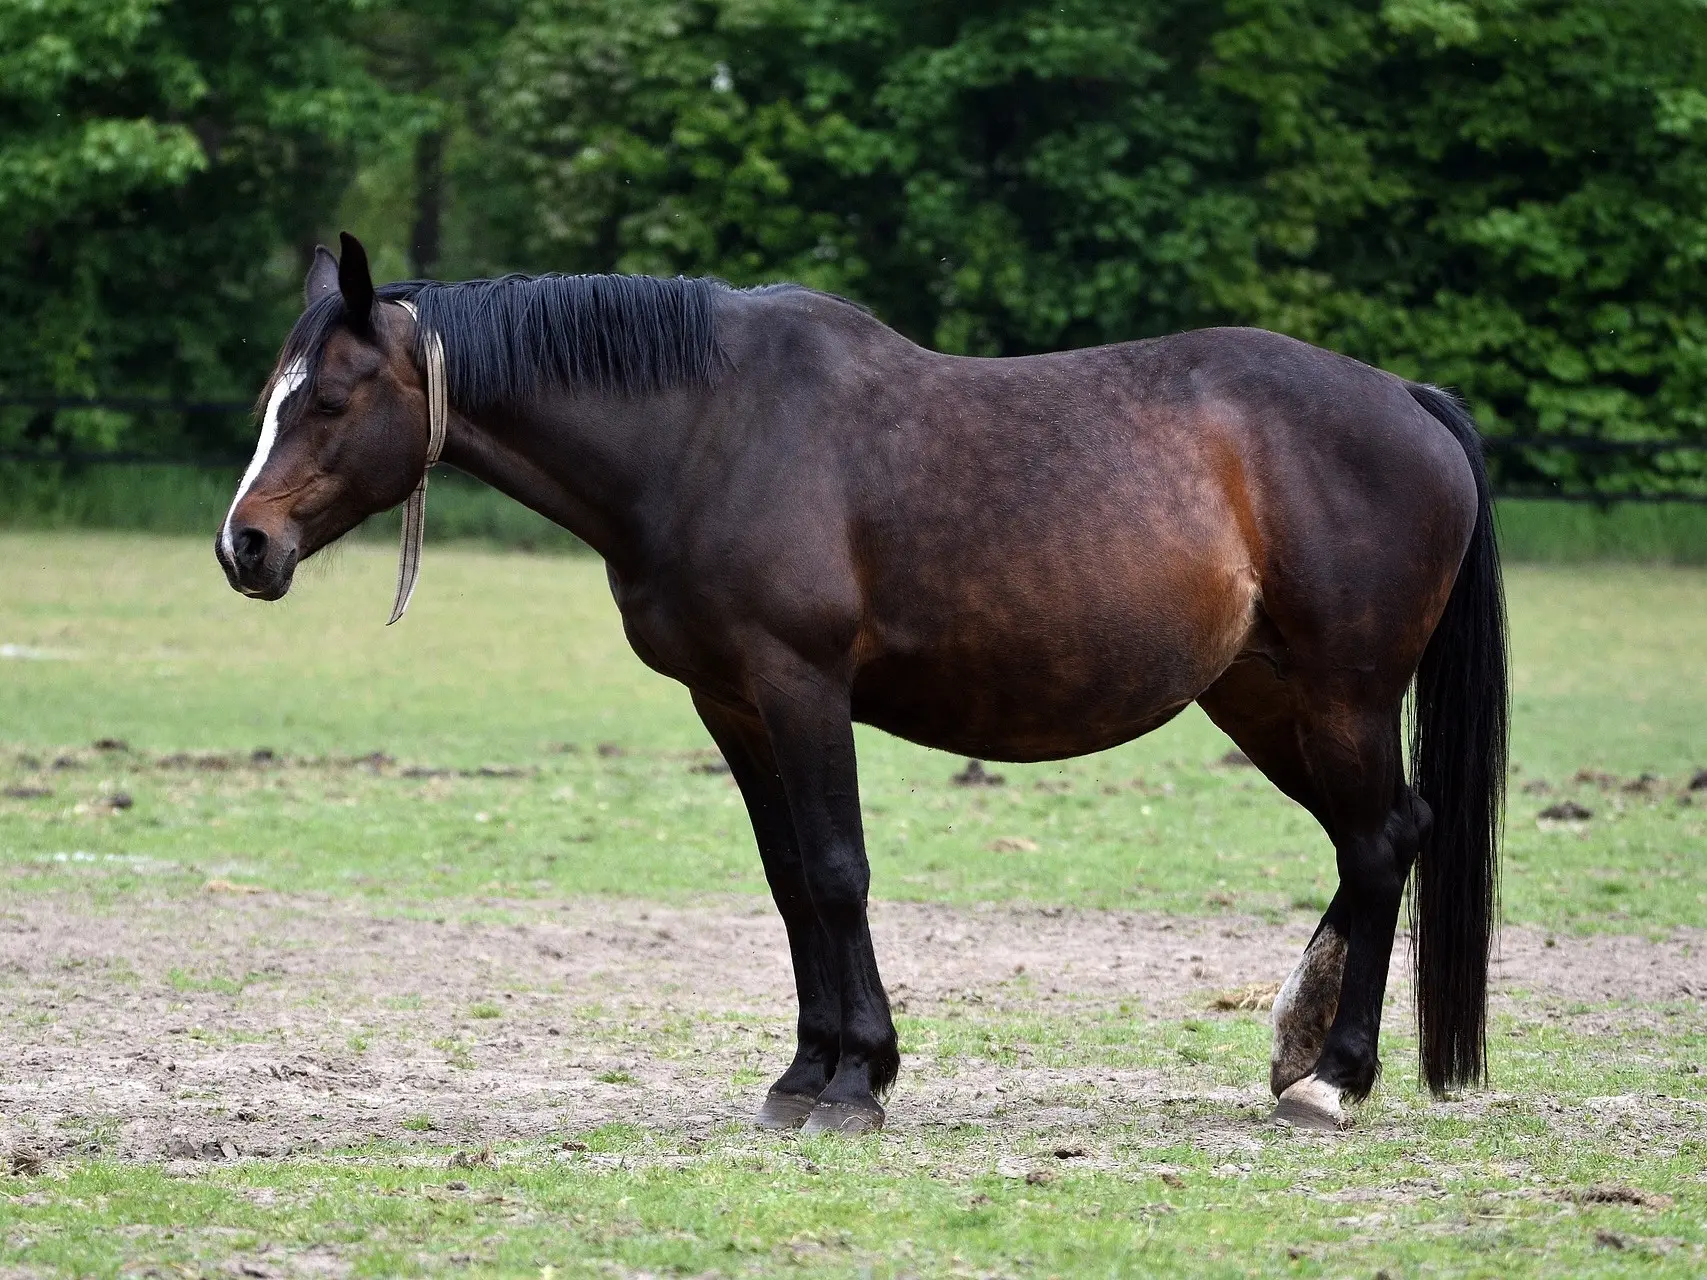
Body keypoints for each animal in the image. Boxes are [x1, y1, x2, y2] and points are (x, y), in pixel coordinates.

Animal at [216, 235, 1508, 1140]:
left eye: (327, 397)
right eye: (271, 396)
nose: (246, 546)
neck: (706, 432)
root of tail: (1407, 399)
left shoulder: (801, 687)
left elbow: (838, 872)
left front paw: (857, 1081)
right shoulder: (731, 703)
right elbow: (792, 883)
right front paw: (809, 1070)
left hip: (1341, 695)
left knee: (1382, 841)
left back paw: (1333, 1079)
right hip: (1261, 697)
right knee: (1377, 838)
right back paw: (1297, 1046)